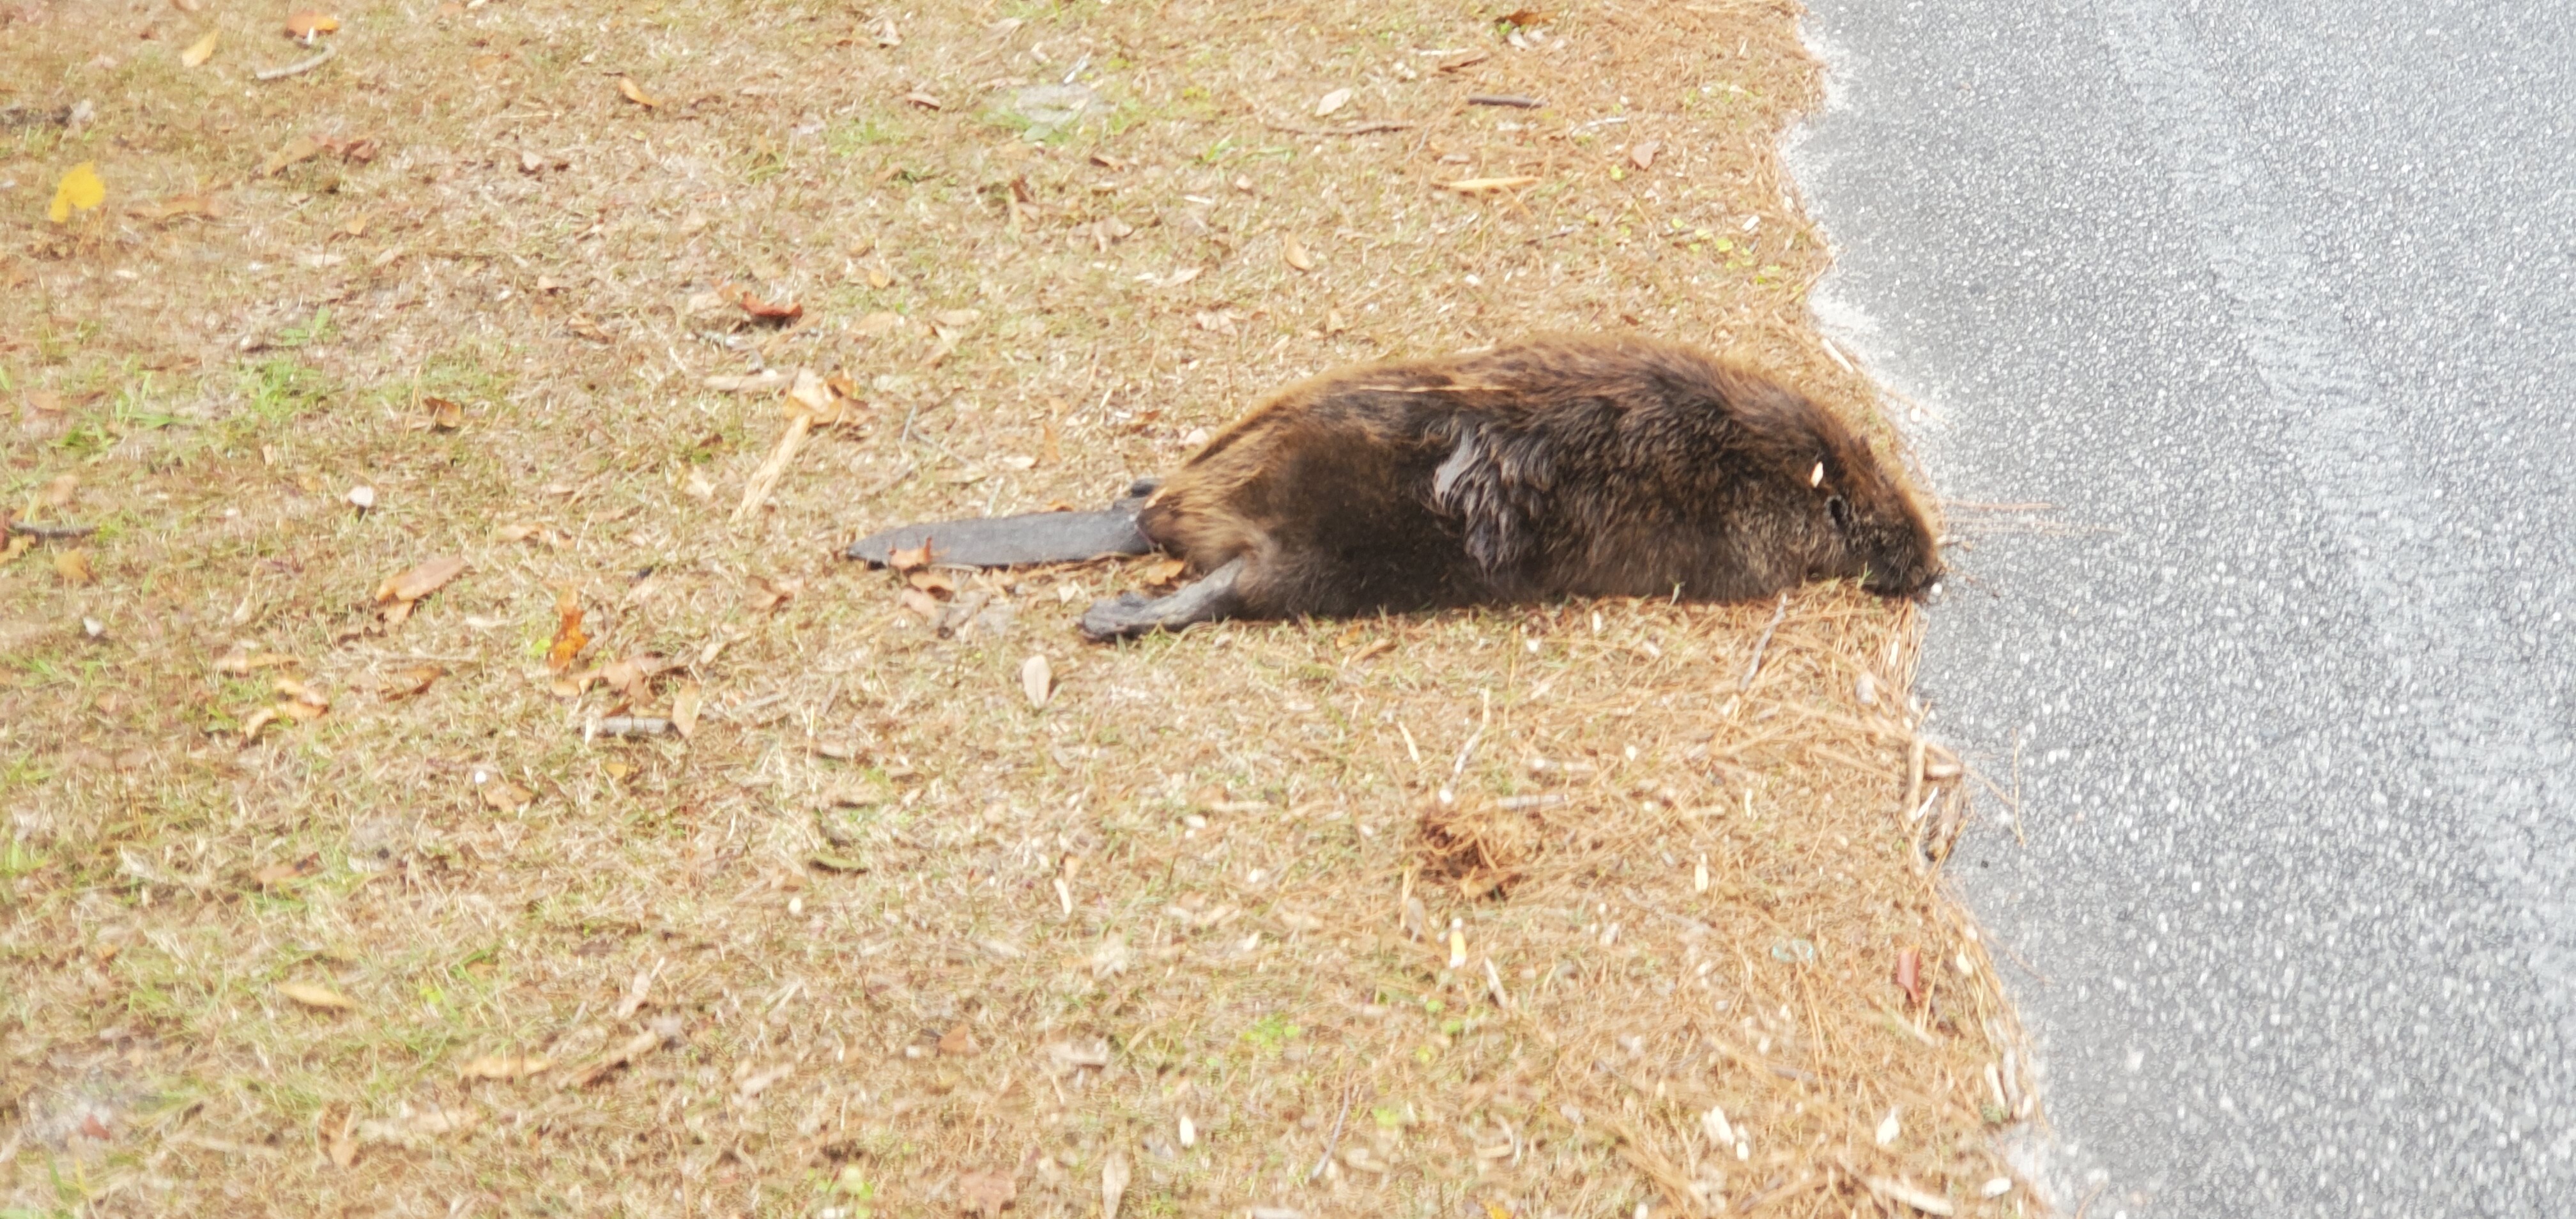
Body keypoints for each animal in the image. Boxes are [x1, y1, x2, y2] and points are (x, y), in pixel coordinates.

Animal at [845, 332, 1937, 636]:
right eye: (1875, 523)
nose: (1930, 568)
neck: (1763, 462)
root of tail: (1153, 524)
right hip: (1331, 551)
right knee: (1238, 583)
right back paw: (1114, 613)